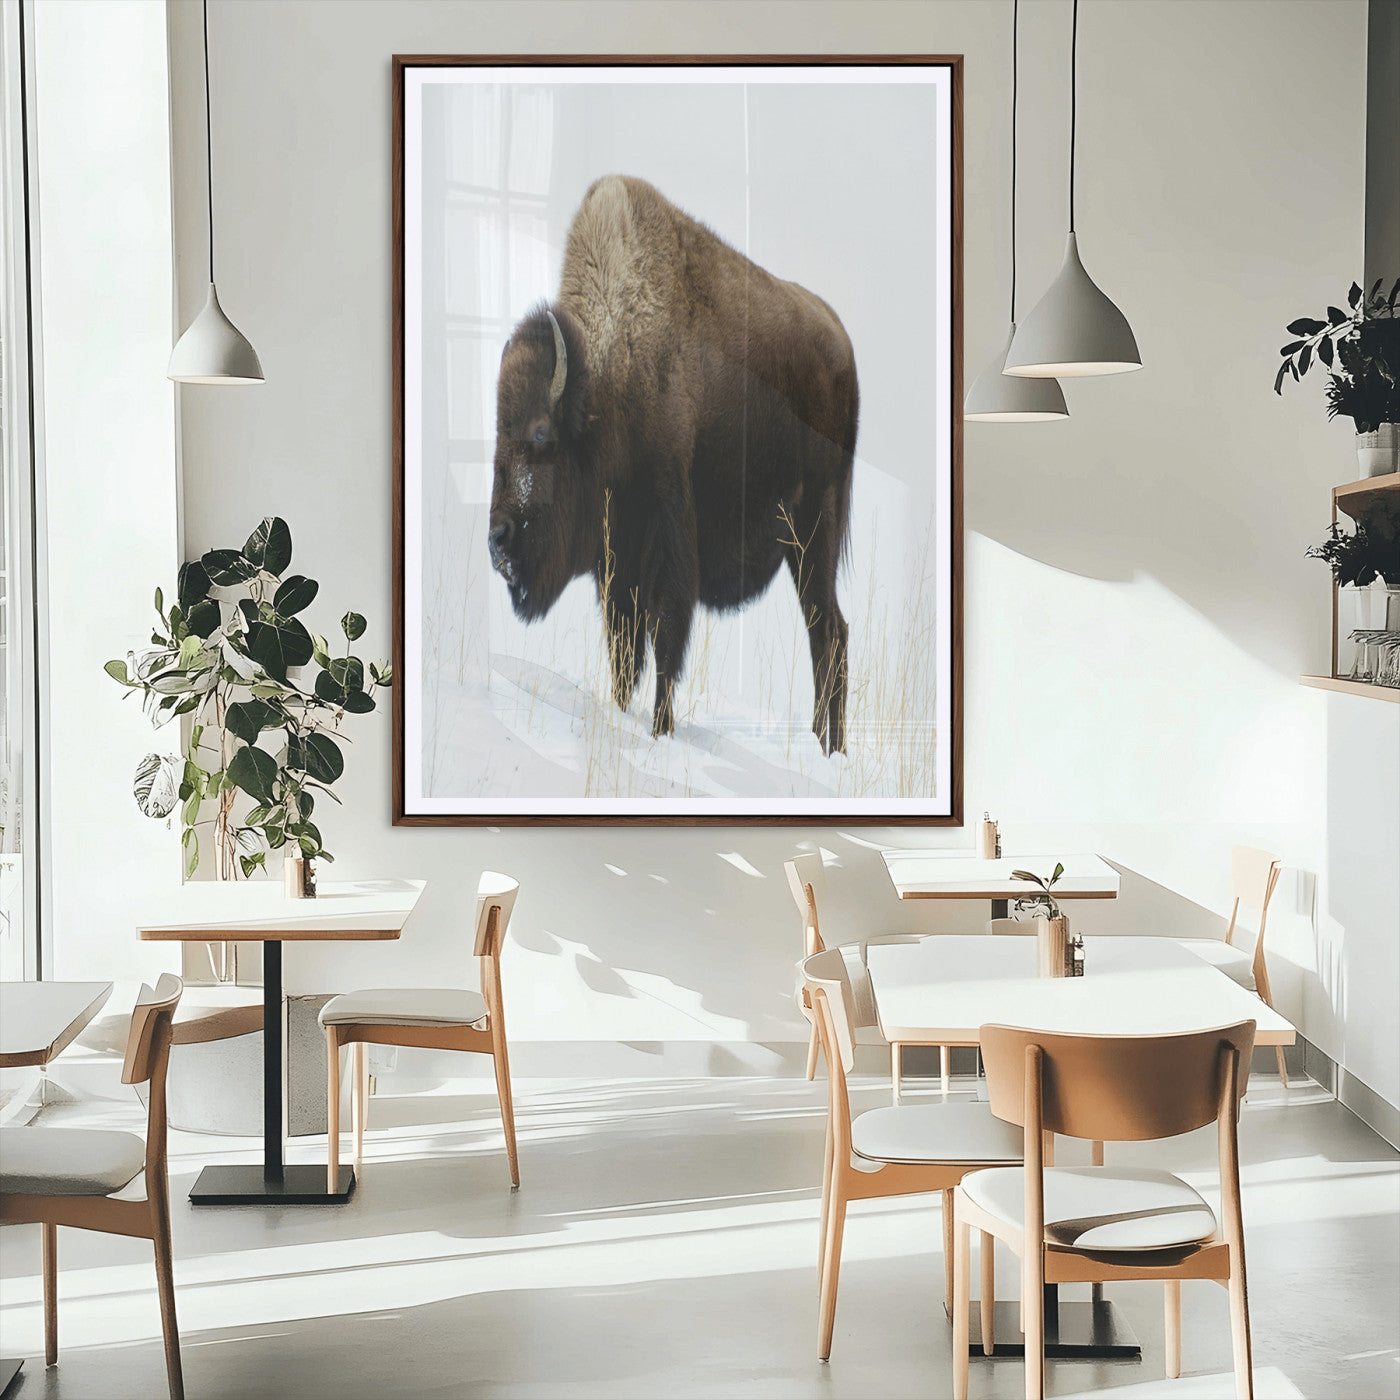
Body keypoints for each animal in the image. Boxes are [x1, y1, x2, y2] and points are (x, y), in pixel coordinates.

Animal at [487, 175, 858, 755]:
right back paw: (823, 743)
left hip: (815, 530)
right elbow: (624, 653)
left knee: (829, 631)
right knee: (827, 632)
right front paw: (623, 713)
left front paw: (661, 731)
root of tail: (842, 343)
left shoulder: (669, 540)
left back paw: (830, 748)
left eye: (541, 432)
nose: (497, 539)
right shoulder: (616, 563)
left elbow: (665, 644)